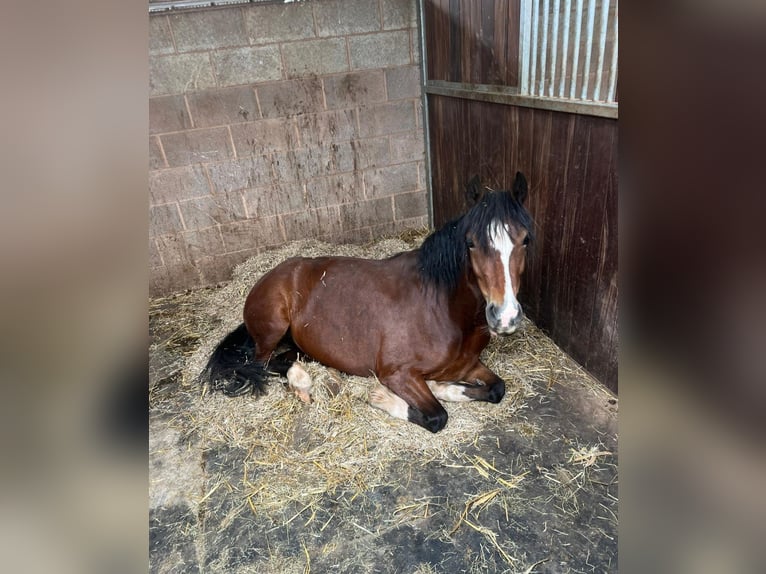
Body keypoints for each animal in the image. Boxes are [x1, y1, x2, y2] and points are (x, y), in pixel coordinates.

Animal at [207, 173, 536, 434]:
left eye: (525, 240)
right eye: (470, 243)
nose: (505, 317)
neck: (443, 310)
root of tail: (272, 274)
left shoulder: (470, 365)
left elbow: (497, 389)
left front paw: (442, 386)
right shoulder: (397, 374)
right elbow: (437, 417)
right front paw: (384, 397)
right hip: (273, 327)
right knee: (262, 363)